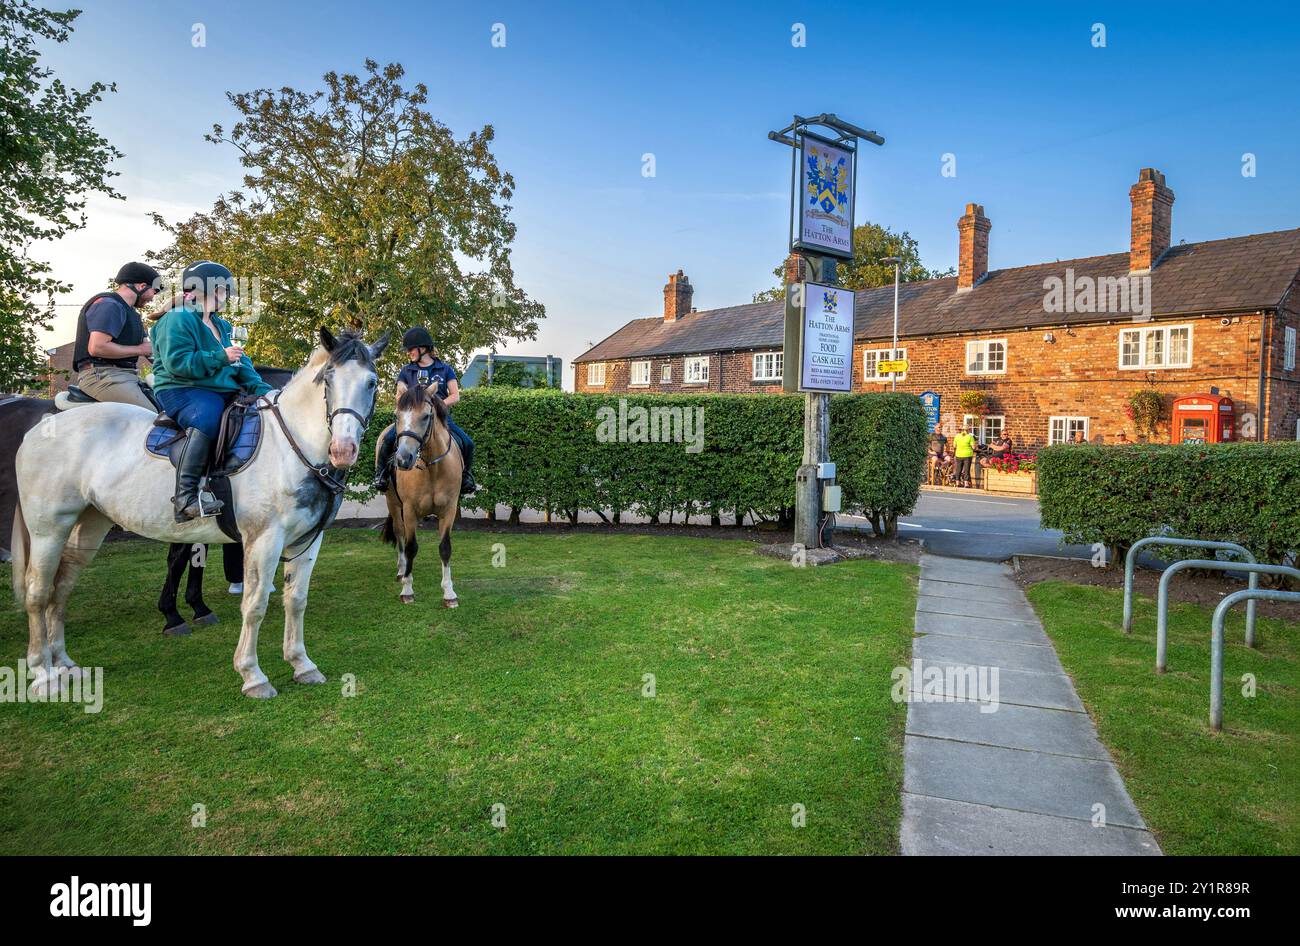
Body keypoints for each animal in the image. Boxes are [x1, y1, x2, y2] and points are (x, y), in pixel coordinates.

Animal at [379, 379, 462, 605]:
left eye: (425, 416)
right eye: (397, 416)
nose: (403, 459)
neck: (432, 468)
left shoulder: (449, 510)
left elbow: (445, 548)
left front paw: (449, 593)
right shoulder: (409, 510)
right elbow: (411, 547)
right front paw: (407, 589)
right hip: (392, 502)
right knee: (399, 534)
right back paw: (401, 570)